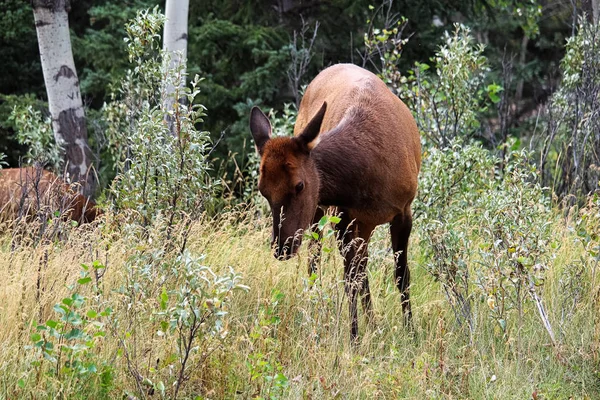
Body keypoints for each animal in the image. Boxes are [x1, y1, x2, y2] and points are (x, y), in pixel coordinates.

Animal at [250, 64, 422, 342]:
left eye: (299, 185)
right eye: (263, 190)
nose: (282, 247)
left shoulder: (404, 210)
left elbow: (401, 275)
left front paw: (411, 332)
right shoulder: (342, 216)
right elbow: (350, 278)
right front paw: (354, 339)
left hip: (361, 224)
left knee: (361, 266)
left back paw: (372, 322)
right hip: (323, 215)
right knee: (318, 262)